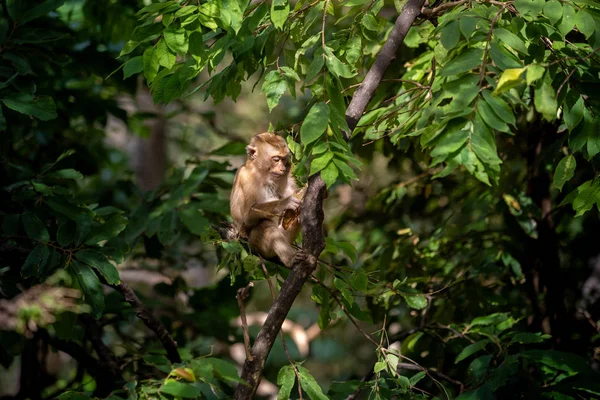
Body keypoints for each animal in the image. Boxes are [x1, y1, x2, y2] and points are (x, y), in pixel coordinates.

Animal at [231, 133, 302, 268]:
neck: (262, 173)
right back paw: (290, 259)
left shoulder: (288, 173)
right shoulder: (245, 177)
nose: (282, 169)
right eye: (276, 159)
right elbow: (247, 216)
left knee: (293, 220)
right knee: (265, 225)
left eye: (284, 159)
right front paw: (285, 202)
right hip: (257, 245)